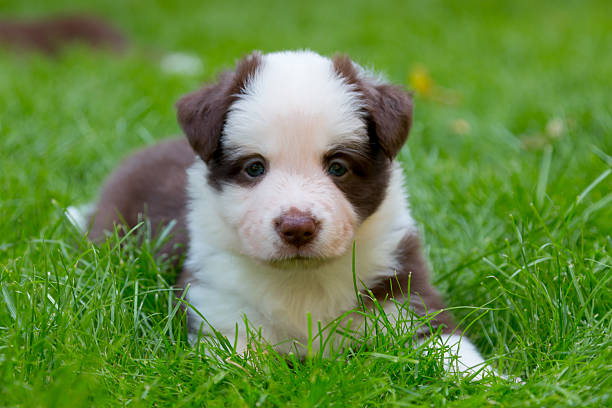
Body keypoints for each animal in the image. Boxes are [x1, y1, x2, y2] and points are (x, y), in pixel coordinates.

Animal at [82, 49, 498, 378]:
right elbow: (237, 365)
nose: (297, 228)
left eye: (338, 167)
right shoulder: (220, 309)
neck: (303, 281)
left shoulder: (404, 295)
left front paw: (496, 383)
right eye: (254, 168)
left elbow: (451, 349)